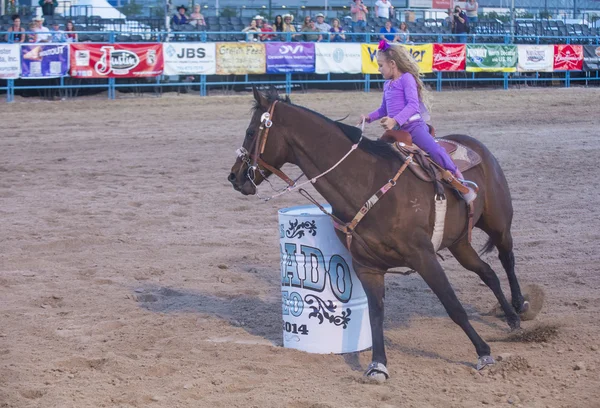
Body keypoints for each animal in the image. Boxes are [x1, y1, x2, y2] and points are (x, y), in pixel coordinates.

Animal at [227, 87, 528, 382]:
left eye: (251, 132)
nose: (234, 177)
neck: (367, 181)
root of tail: (476, 146)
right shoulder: (366, 266)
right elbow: (374, 315)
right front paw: (378, 366)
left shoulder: (423, 256)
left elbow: (453, 305)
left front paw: (483, 354)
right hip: (459, 243)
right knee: (487, 272)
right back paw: (511, 318)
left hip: (499, 225)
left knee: (507, 258)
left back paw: (520, 306)